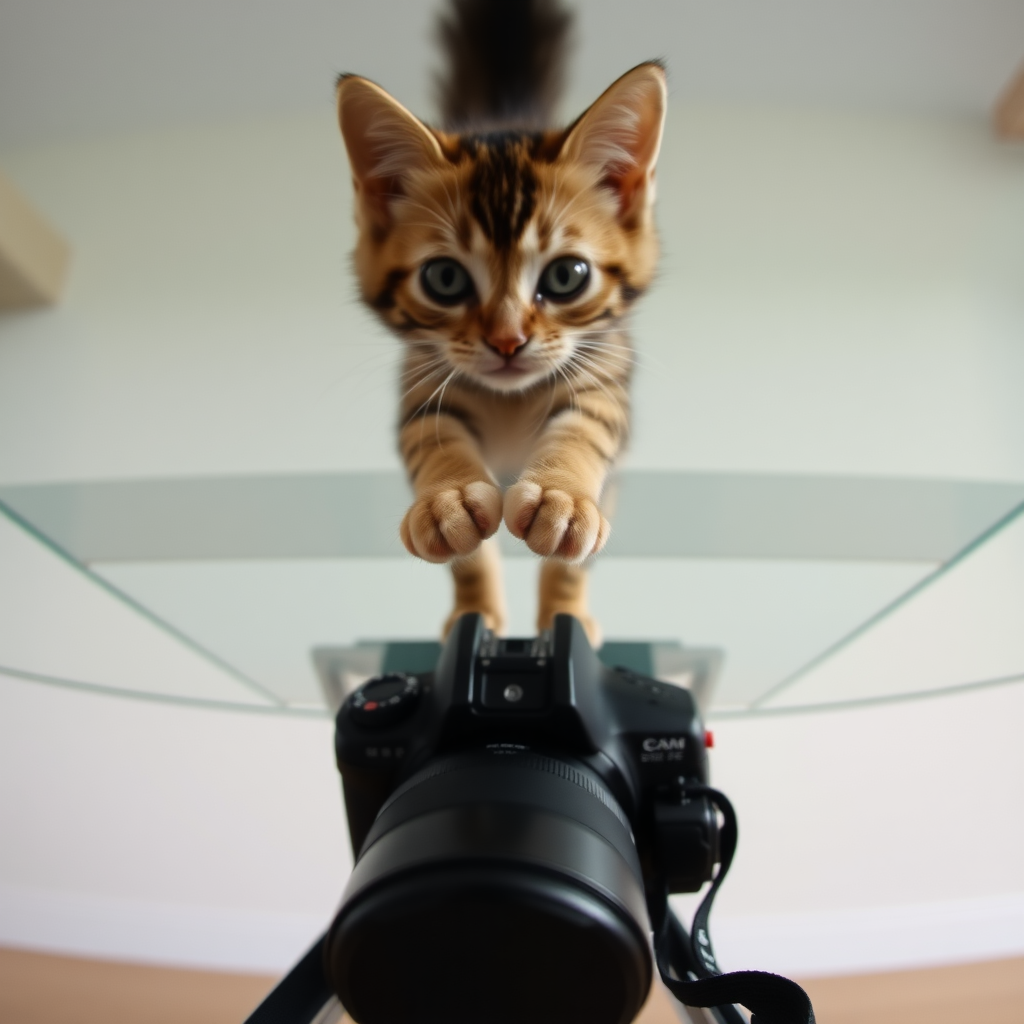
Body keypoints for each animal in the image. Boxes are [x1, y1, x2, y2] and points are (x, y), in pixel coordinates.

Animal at [339, 0, 667, 638]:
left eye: (567, 276)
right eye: (445, 279)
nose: (508, 340)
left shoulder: (607, 374)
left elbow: (586, 429)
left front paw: (563, 509)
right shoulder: (421, 386)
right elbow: (437, 447)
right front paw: (450, 508)